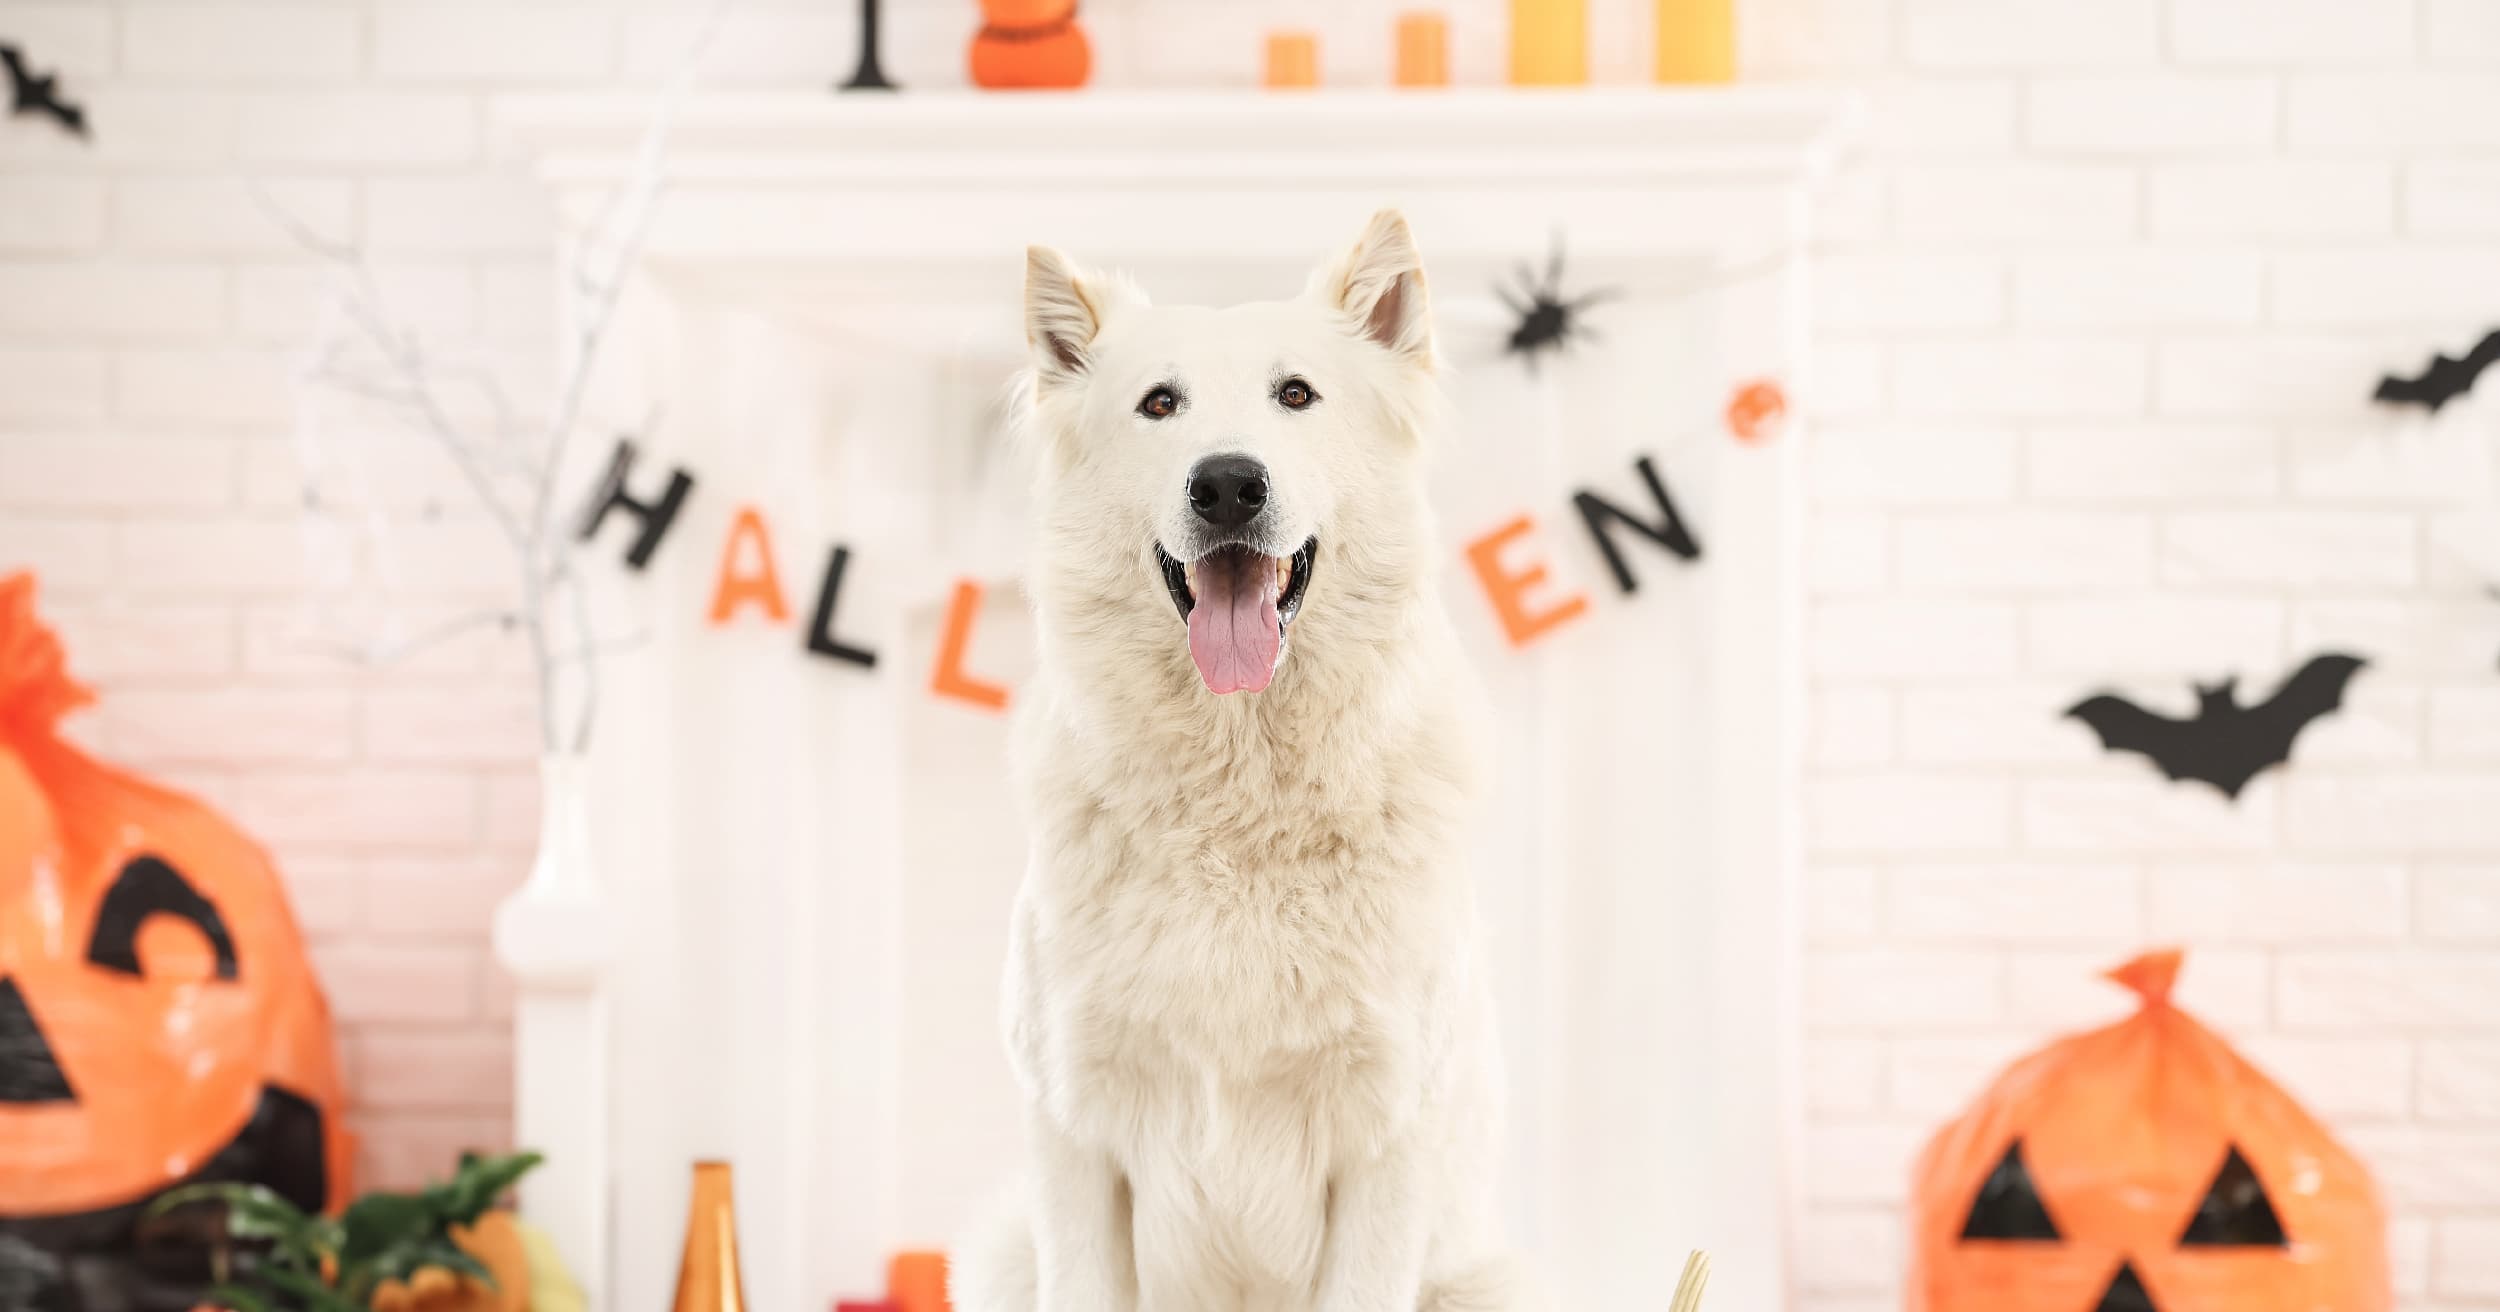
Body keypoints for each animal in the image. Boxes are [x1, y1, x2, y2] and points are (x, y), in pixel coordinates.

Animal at [950, 209, 1520, 1299]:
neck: (1239, 794)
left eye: (1295, 394)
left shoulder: (1387, 1140)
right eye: (1157, 404)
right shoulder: (1075, 1131)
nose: (1225, 483)